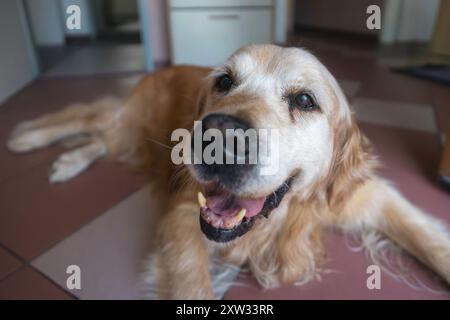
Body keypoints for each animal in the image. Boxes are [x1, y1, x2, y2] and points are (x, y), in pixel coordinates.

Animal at [7, 43, 450, 298]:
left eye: (305, 100)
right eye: (224, 80)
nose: (218, 135)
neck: (280, 221)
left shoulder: (368, 196)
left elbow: (429, 238)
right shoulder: (184, 213)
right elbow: (192, 283)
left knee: (100, 136)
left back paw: (66, 160)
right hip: (132, 118)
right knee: (88, 117)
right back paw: (30, 140)